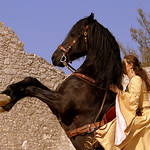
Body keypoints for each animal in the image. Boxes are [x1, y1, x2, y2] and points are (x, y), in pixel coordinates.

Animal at [0, 13, 123, 149]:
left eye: (73, 34)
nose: (54, 56)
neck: (92, 81)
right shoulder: (57, 99)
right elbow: (31, 80)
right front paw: (8, 92)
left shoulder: (61, 104)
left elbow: (30, 89)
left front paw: (7, 102)